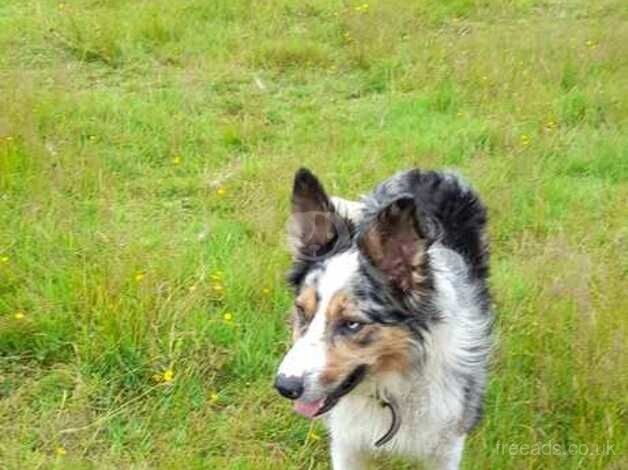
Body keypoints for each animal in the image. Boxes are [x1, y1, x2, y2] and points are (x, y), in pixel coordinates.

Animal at [274, 169, 490, 470]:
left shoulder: (445, 448)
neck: (390, 385)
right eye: (302, 311)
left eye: (352, 324)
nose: (285, 387)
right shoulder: (347, 445)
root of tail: (426, 171)